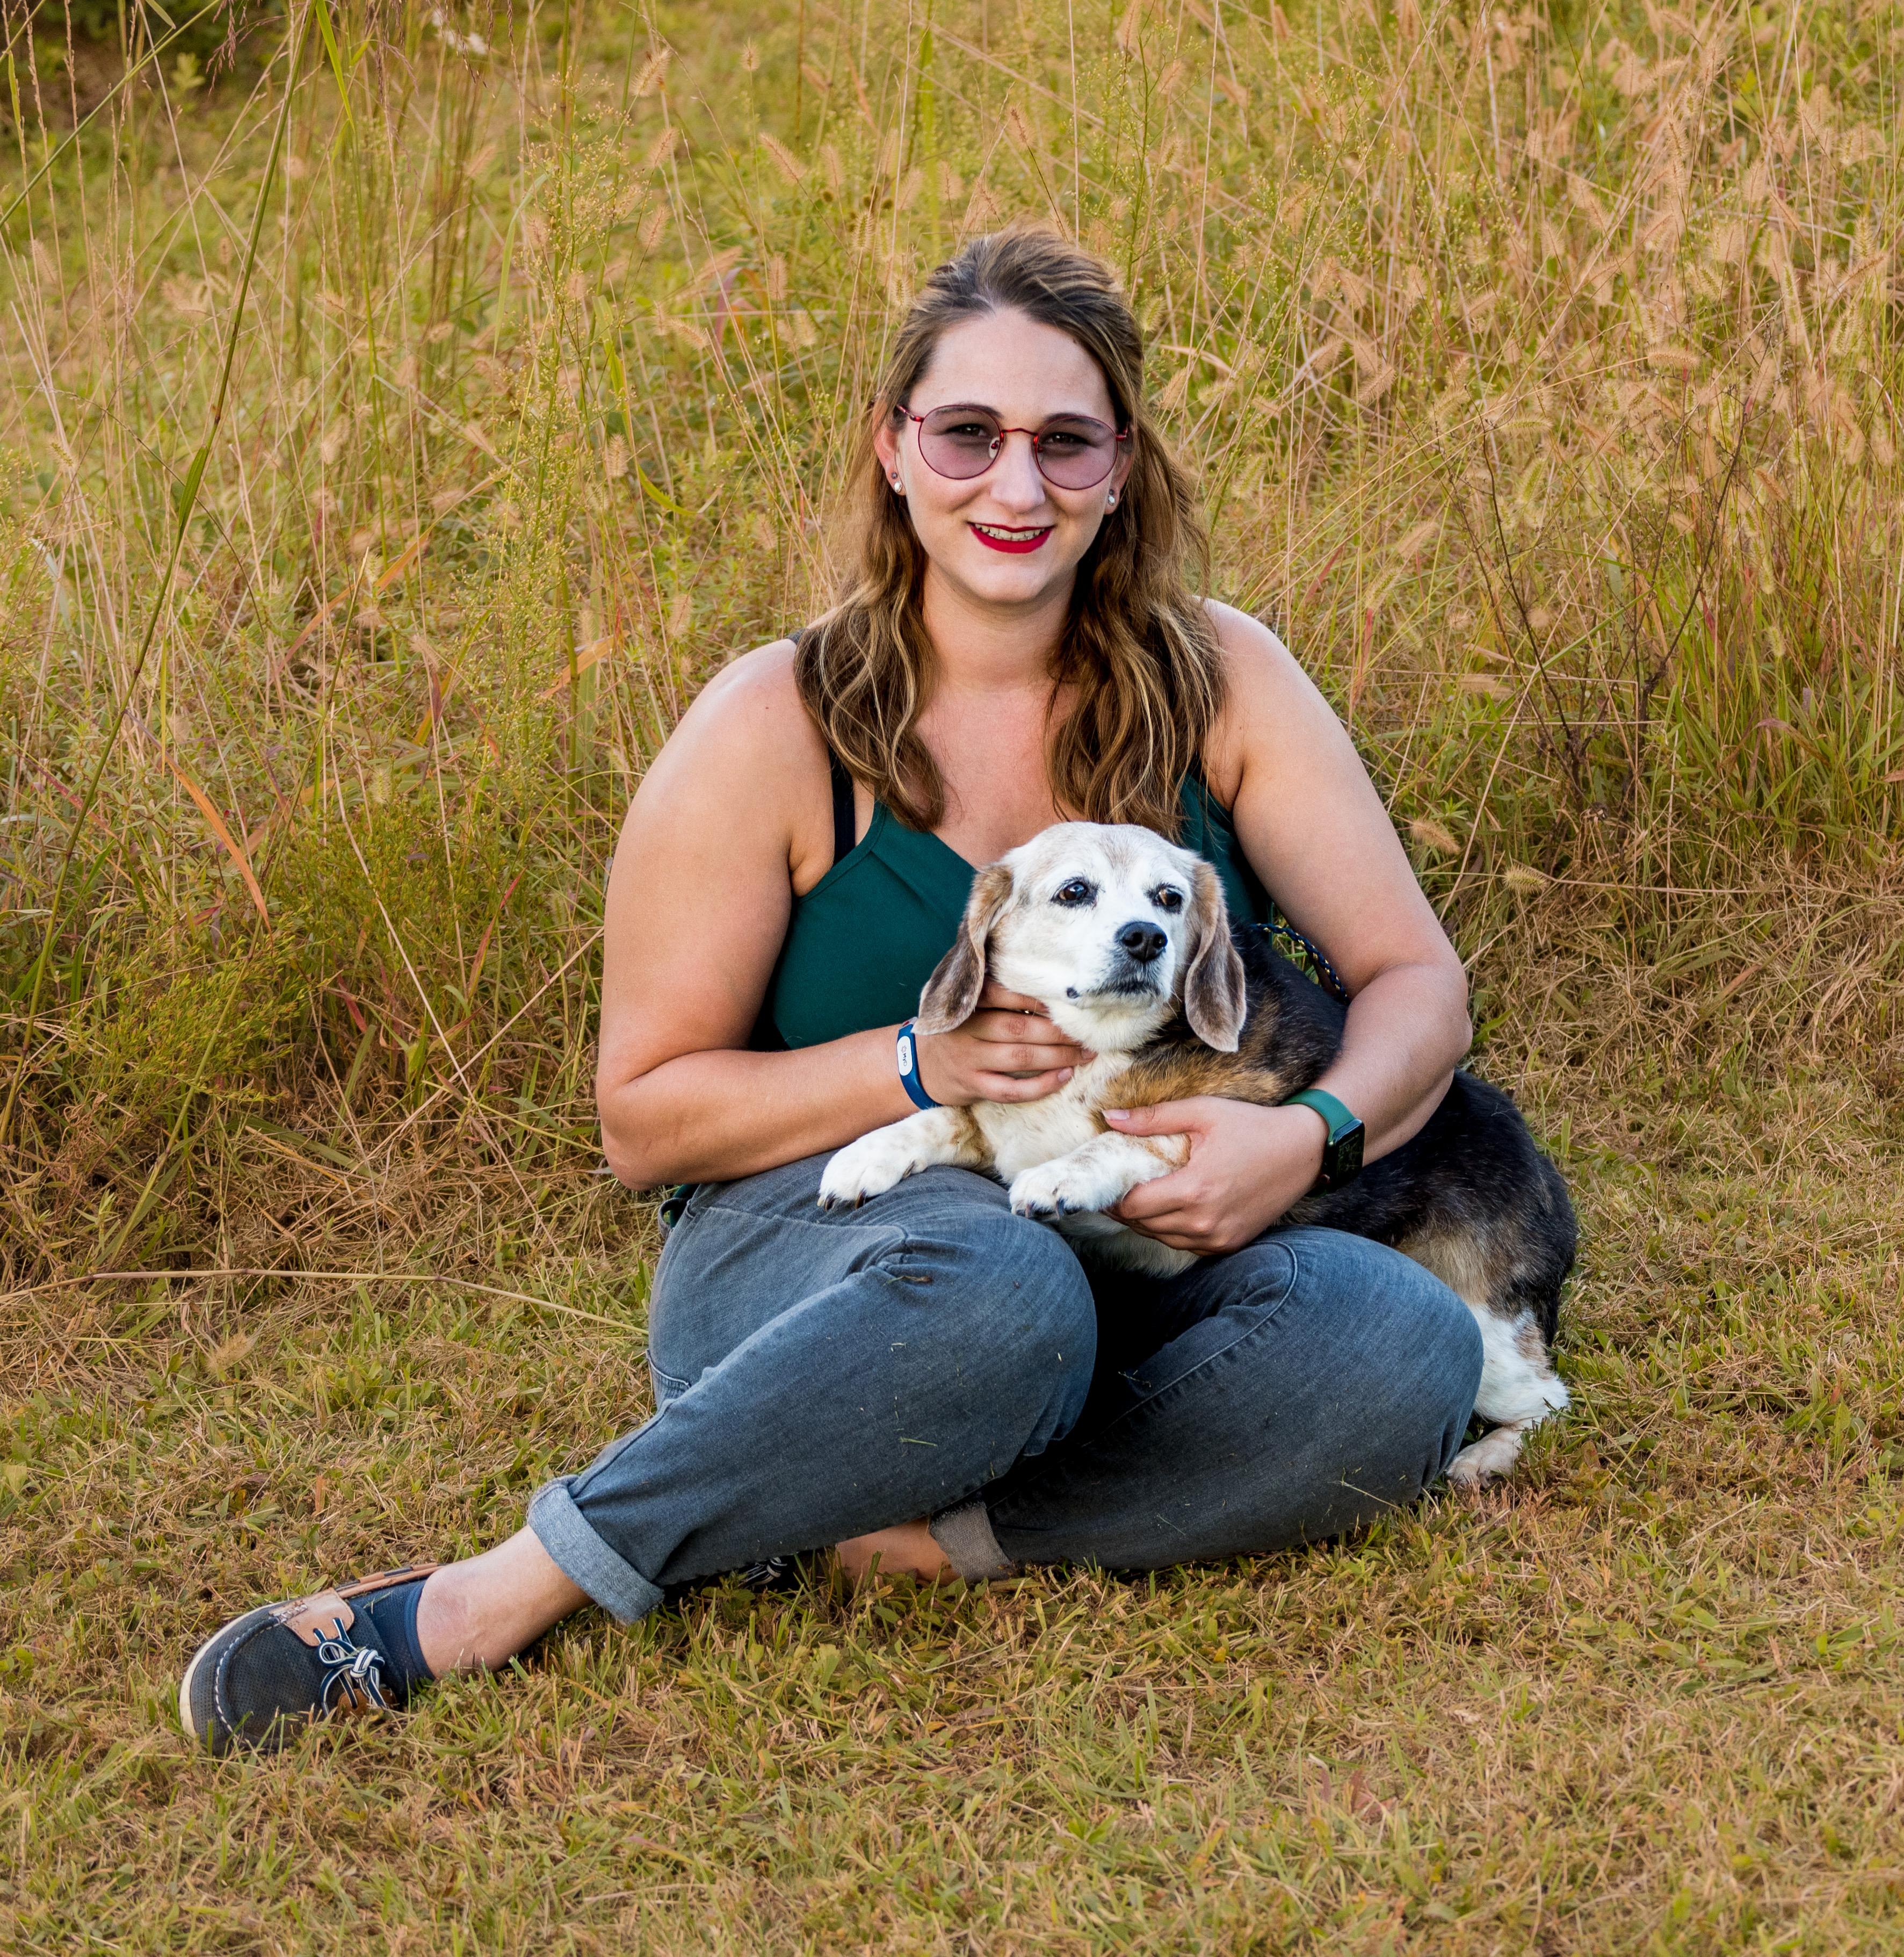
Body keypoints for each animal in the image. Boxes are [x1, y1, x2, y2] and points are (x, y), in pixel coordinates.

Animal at [818, 821, 1576, 1485]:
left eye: (1168, 898)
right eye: (1074, 891)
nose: (1144, 938)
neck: (1096, 1043)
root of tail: (1544, 1175)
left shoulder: (1221, 1126)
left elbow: (1124, 1137)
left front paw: (1062, 1175)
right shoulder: (998, 1124)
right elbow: (941, 1116)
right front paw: (864, 1157)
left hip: (1485, 1325)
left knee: (1549, 1403)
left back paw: (1485, 1459)